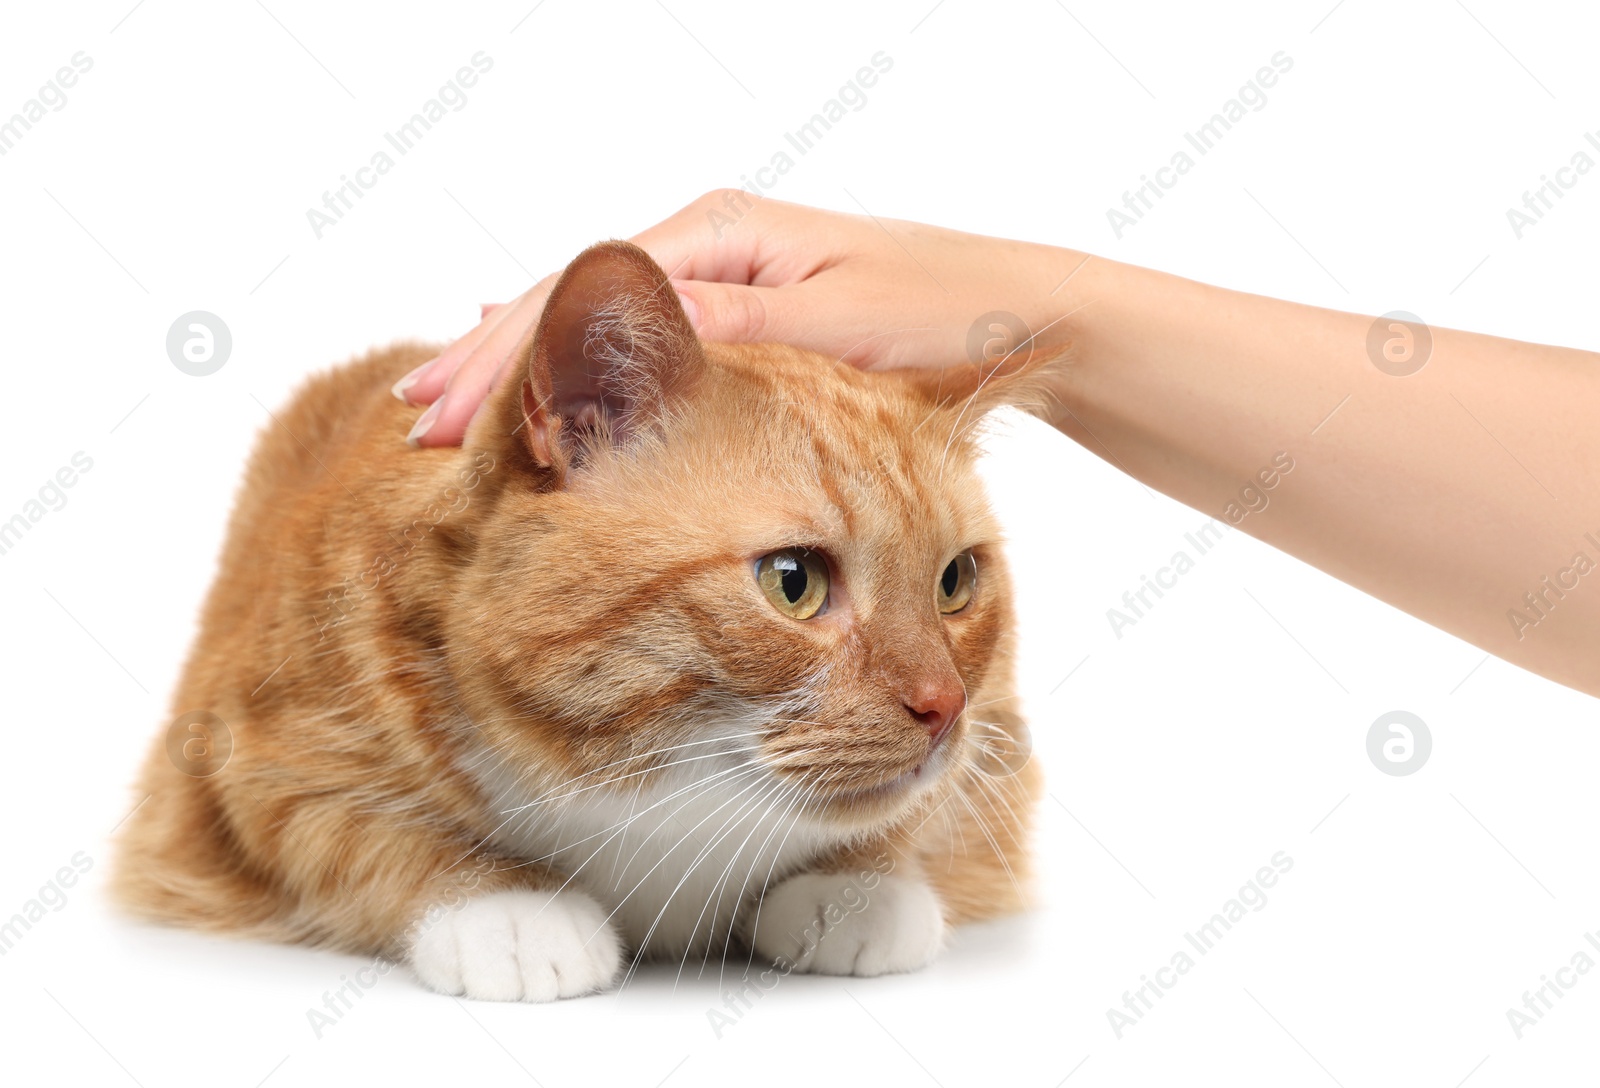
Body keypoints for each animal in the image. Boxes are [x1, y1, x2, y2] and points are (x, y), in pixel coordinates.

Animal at [109, 241, 1036, 998]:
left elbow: (921, 815)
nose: (942, 707)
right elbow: (361, 836)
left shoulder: (998, 749)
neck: (654, 798)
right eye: (794, 582)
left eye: (954, 582)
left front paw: (858, 888)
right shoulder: (244, 772)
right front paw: (507, 910)